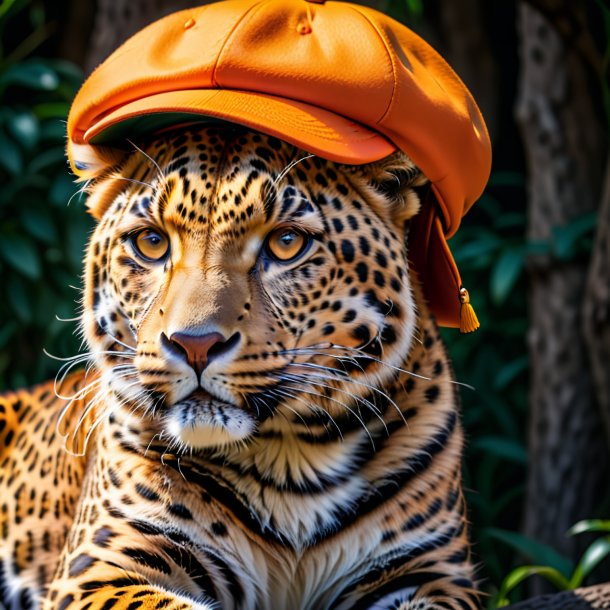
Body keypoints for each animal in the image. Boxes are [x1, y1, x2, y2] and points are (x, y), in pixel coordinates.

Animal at [0, 124, 476, 608]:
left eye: (287, 243)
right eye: (151, 242)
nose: (194, 345)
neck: (293, 464)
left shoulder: (431, 572)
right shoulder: (99, 568)